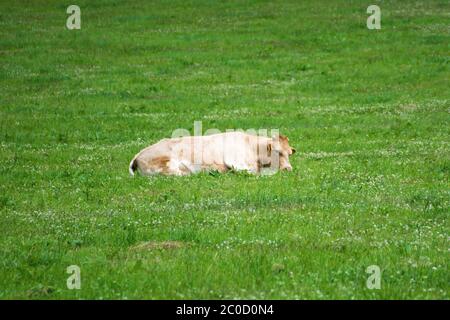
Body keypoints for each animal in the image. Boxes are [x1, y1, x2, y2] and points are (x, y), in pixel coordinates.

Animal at [129, 132, 296, 178]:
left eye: (289, 153)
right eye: (277, 152)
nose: (288, 169)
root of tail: (138, 156)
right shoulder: (235, 161)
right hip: (167, 165)